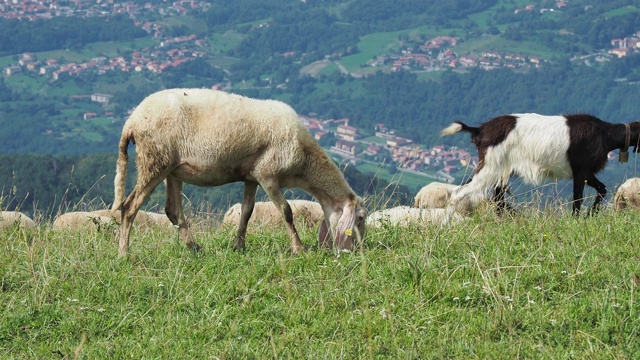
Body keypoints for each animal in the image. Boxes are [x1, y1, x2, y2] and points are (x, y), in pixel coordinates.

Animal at [112, 88, 368, 258]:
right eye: (361, 218)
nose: (358, 250)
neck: (305, 163)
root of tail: (131, 122)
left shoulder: (251, 176)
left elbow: (247, 212)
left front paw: (239, 246)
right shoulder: (267, 174)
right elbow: (286, 211)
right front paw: (299, 248)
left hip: (172, 170)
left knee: (173, 211)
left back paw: (195, 248)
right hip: (154, 161)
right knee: (129, 207)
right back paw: (125, 254)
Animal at [442, 113, 640, 214]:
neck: (604, 134)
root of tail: (479, 130)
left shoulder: (586, 173)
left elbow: (602, 189)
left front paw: (591, 213)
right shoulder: (581, 172)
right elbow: (578, 198)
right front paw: (579, 218)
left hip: (498, 168)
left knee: (496, 196)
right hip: (491, 166)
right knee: (461, 192)